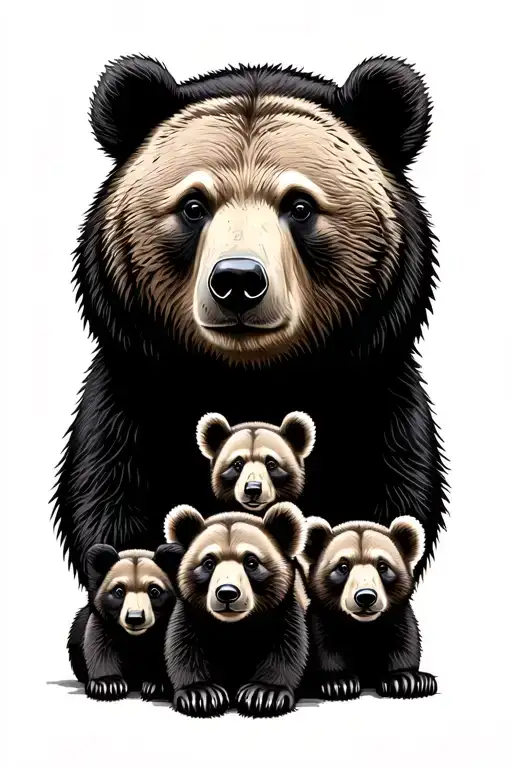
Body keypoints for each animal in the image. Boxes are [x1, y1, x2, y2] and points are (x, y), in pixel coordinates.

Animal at [52, 54, 447, 590]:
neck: (251, 380)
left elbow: (386, 498)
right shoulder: (131, 406)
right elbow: (112, 503)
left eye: (300, 205)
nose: (237, 280)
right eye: (193, 205)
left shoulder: (375, 407)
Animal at [68, 544, 176, 701]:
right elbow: (98, 644)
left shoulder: (167, 622)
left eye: (154, 591)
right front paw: (107, 684)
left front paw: (157, 684)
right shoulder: (102, 619)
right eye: (119, 591)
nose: (135, 617)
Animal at [162, 502, 308, 718]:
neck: (234, 625)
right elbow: (183, 644)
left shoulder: (284, 606)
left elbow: (288, 643)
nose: (227, 593)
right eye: (208, 563)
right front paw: (201, 694)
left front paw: (265, 694)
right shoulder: (190, 609)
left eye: (251, 562)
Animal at [301, 515, 437, 700]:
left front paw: (407, 679)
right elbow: (324, 646)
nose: (366, 596)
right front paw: (338, 682)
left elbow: (404, 642)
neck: (363, 626)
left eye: (383, 566)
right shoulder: (324, 618)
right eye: (343, 567)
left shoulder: (398, 618)